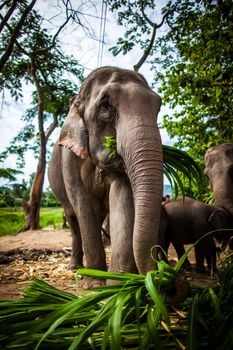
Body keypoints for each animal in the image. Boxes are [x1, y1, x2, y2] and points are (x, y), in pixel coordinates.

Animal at [48, 66, 163, 288]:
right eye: (106, 105)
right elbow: (82, 204)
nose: (157, 276)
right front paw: (94, 284)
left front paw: (119, 282)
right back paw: (74, 267)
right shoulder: (69, 156)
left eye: (158, 107)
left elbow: (122, 196)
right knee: (74, 222)